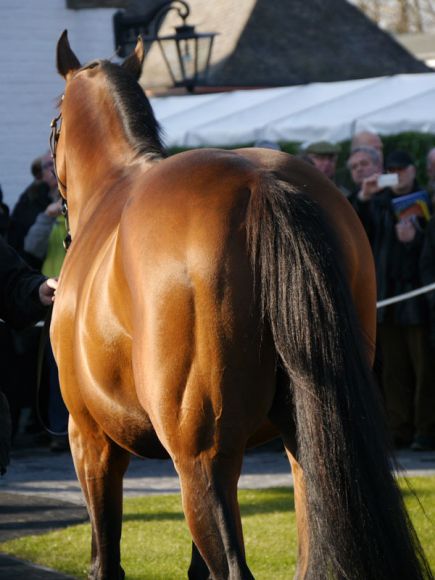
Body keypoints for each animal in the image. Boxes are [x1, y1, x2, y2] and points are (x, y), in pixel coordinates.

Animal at [51, 32, 432, 580]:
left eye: (55, 121)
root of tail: (263, 185)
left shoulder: (91, 439)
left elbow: (107, 561)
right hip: (306, 442)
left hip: (200, 456)